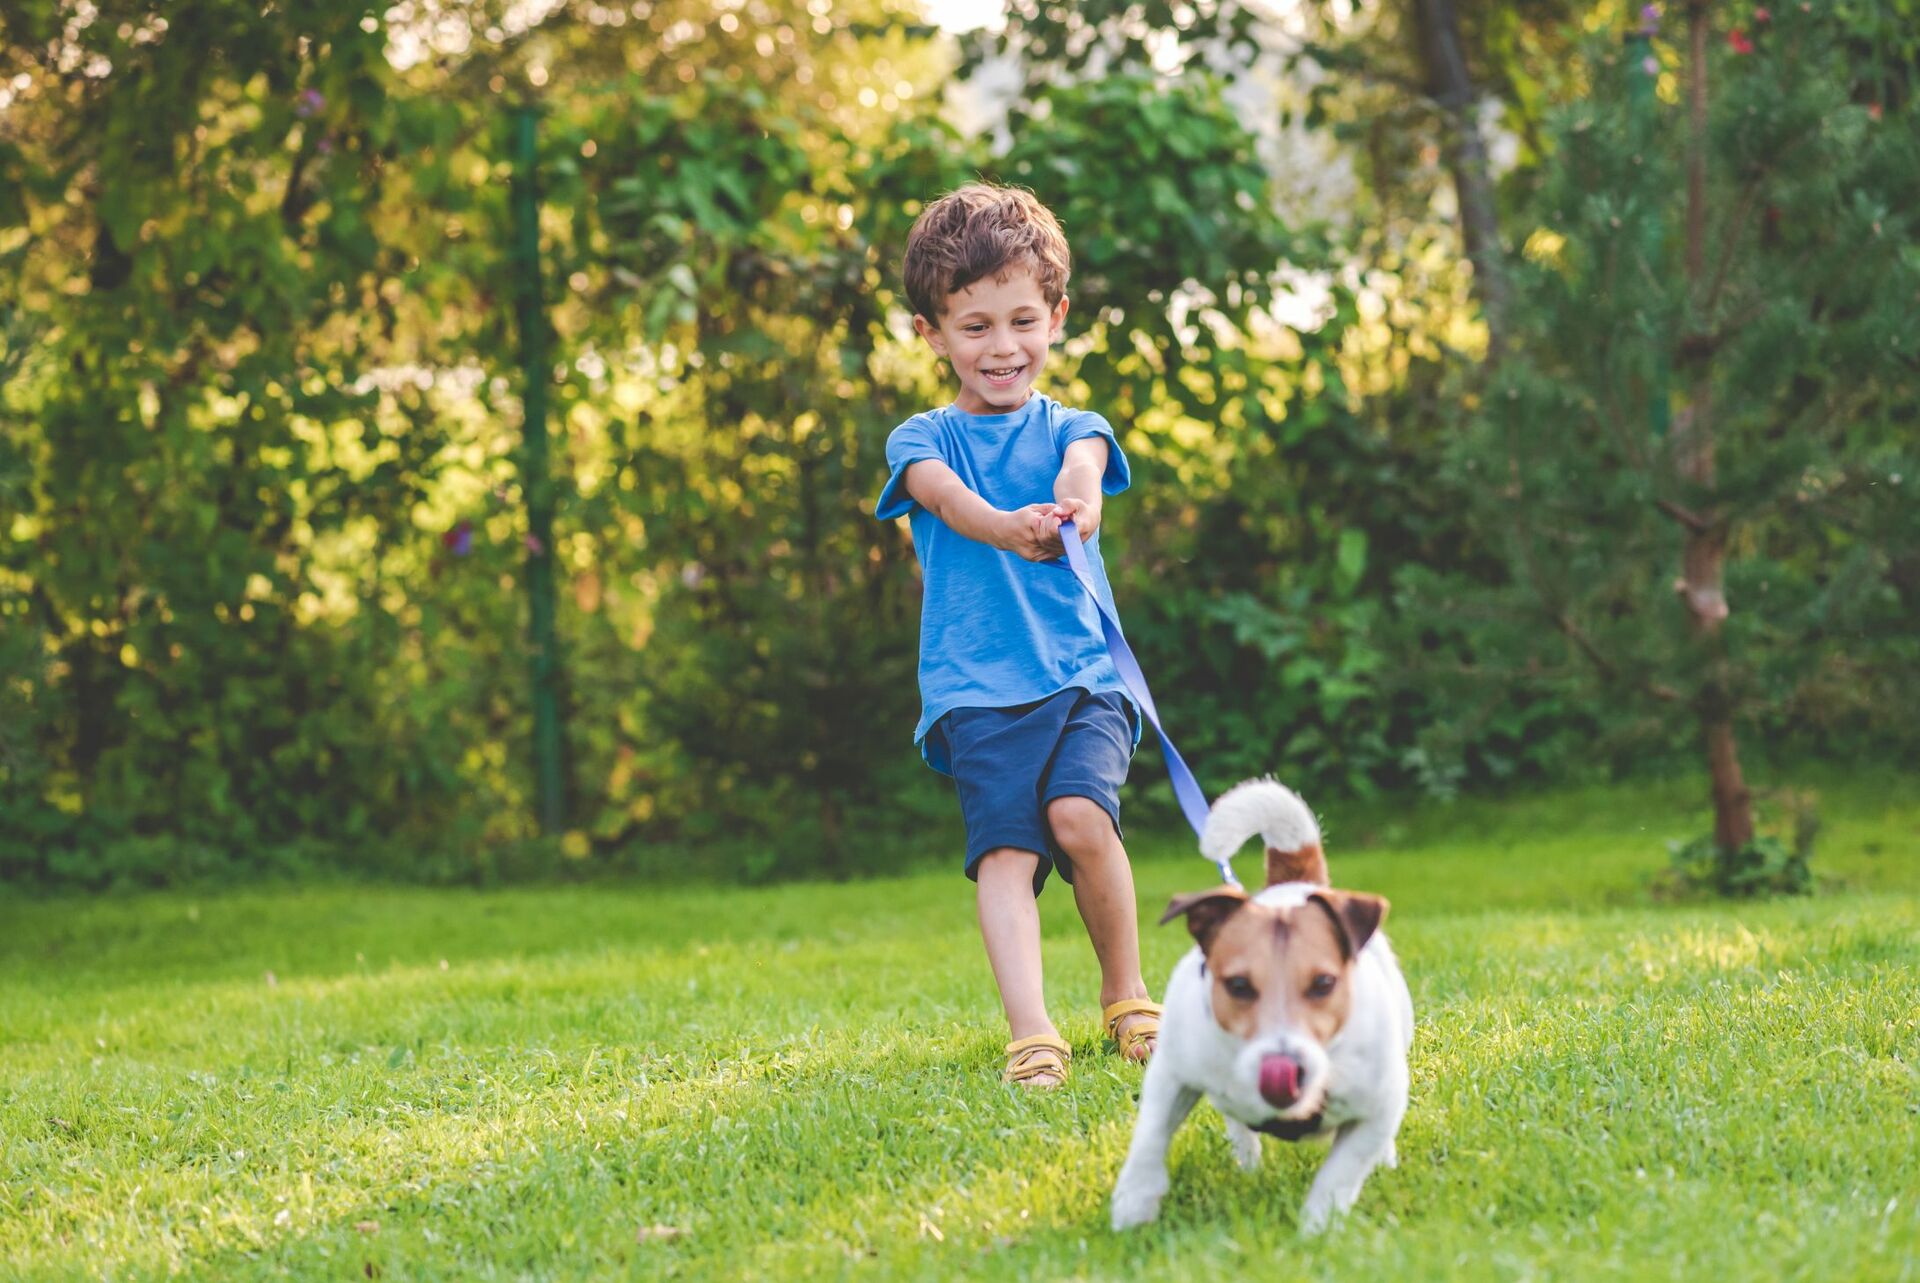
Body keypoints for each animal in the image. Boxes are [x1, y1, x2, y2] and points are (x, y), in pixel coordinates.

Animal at [1113, 775, 1413, 1236]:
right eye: (1238, 985)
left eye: (1324, 983)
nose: (1284, 1067)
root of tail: (1294, 885)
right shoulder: (1172, 1073)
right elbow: (1150, 1137)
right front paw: (1133, 1205)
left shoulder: (1378, 1105)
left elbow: (1341, 1172)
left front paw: (1317, 1229)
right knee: (1238, 1124)